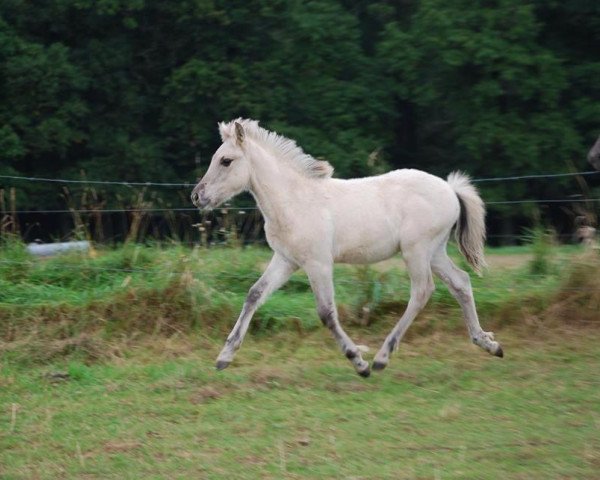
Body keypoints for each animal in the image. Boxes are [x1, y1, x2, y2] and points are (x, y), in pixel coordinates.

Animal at [191, 118, 502, 376]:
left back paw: (382, 358)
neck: (295, 200)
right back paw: (488, 343)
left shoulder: (318, 264)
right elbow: (254, 295)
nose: (197, 196)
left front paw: (358, 362)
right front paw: (224, 356)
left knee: (422, 291)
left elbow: (326, 313)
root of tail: (450, 189)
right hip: (434, 252)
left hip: (417, 250)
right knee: (460, 282)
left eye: (226, 161)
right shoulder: (286, 260)